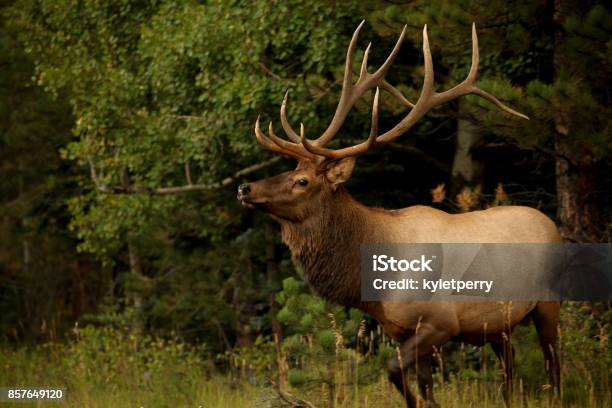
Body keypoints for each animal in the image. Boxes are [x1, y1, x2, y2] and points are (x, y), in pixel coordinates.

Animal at [238, 23, 560, 408]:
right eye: (289, 170)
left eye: (302, 181)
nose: (245, 188)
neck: (375, 278)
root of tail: (551, 223)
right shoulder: (399, 329)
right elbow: (423, 387)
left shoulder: (441, 322)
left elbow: (393, 370)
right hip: (500, 324)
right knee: (510, 370)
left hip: (548, 303)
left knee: (553, 365)